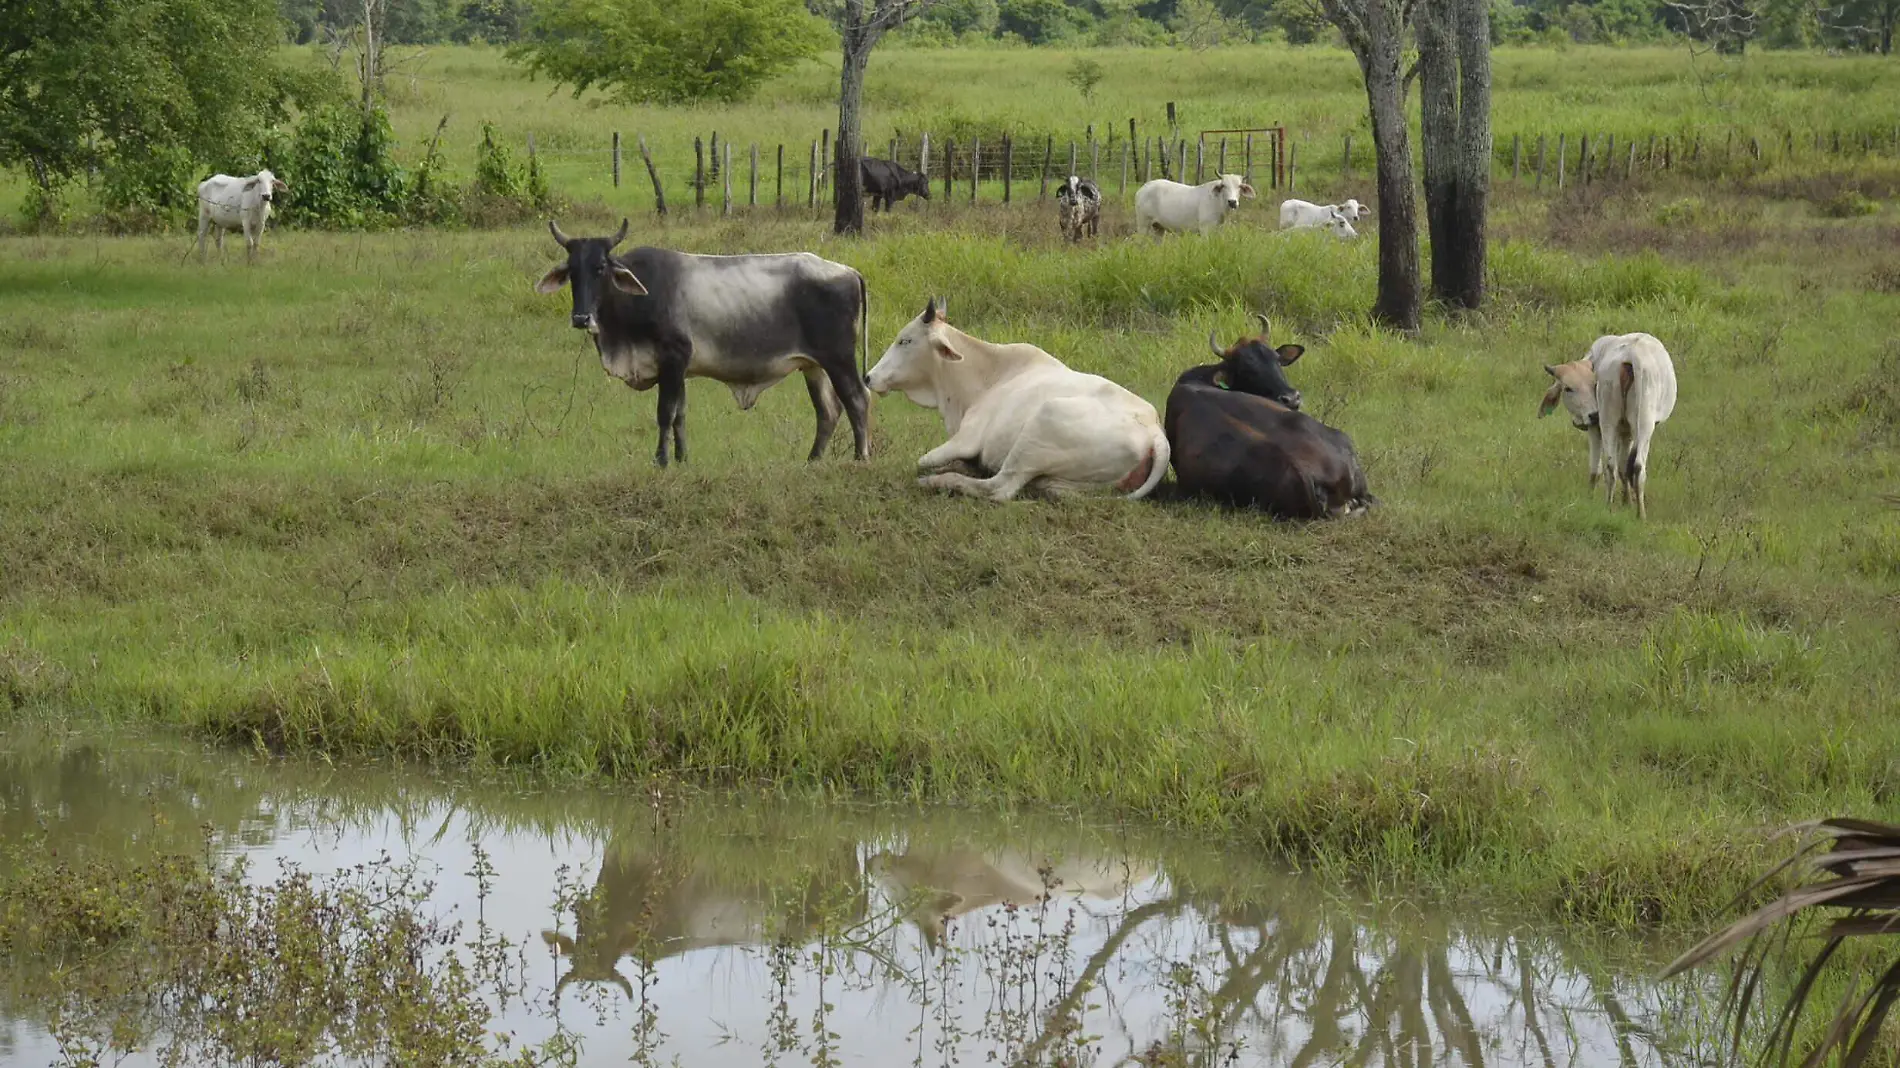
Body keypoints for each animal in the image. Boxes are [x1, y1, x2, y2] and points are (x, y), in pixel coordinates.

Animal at [535, 218, 874, 463]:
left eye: (600, 268)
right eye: (571, 271)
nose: (581, 318)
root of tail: (848, 271)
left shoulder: (674, 357)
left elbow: (665, 413)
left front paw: (661, 461)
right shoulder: (678, 369)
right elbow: (680, 415)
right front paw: (682, 459)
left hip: (839, 359)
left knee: (857, 399)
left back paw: (860, 458)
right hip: (813, 366)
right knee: (828, 410)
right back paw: (813, 460)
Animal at [866, 296, 1170, 501]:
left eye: (905, 340)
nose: (868, 377)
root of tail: (1153, 430)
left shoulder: (966, 439)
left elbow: (922, 460)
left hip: (1041, 427)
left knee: (1000, 488)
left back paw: (939, 481)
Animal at [1535, 330, 1687, 516]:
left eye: (1594, 384)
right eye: (1568, 388)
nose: (1593, 415)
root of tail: (1631, 355)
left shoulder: (1606, 429)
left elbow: (1605, 469)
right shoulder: (1617, 431)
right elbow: (1617, 468)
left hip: (1609, 421)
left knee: (1612, 465)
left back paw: (1610, 506)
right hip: (1641, 423)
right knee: (1636, 466)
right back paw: (1640, 514)